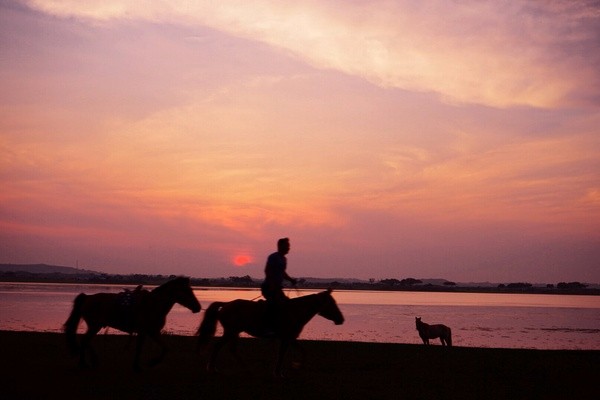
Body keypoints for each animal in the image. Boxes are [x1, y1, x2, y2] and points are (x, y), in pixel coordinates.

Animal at [65, 276, 202, 370]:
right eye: (187, 291)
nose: (198, 307)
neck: (153, 304)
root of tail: (87, 297)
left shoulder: (153, 332)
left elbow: (165, 348)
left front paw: (152, 362)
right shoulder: (144, 332)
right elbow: (139, 348)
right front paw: (139, 366)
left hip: (94, 326)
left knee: (86, 341)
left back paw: (91, 361)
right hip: (94, 326)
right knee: (85, 341)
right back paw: (85, 363)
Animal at [199, 290, 344, 376]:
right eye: (331, 303)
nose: (341, 319)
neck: (294, 311)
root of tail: (226, 304)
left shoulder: (291, 337)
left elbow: (303, 351)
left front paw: (297, 366)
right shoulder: (286, 338)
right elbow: (282, 354)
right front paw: (279, 372)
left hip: (234, 332)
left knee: (231, 349)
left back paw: (244, 367)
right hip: (230, 332)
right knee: (218, 347)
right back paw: (213, 368)